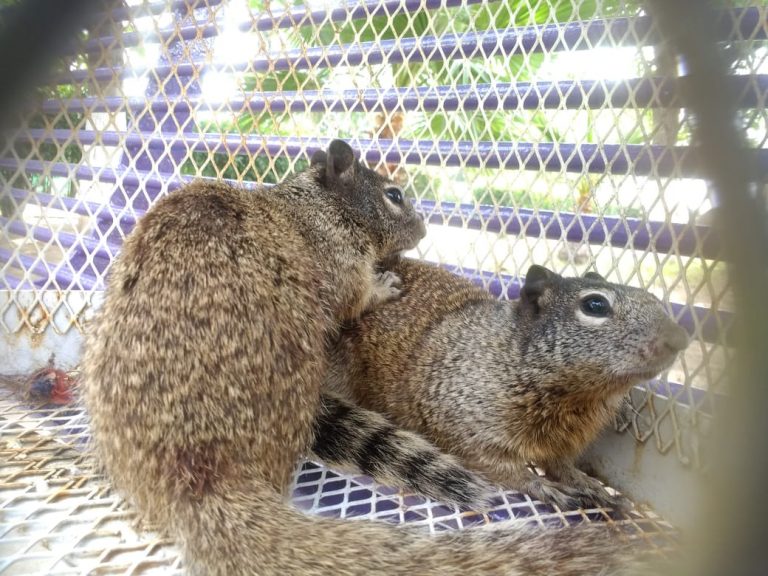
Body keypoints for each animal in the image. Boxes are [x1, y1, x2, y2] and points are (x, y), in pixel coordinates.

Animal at [81, 141, 640, 576]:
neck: (307, 200)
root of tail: (197, 480)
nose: (424, 229)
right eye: (393, 195)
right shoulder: (340, 259)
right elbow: (355, 297)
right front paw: (385, 284)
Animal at [326, 258, 688, 510]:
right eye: (595, 305)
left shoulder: (564, 442)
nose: (681, 338)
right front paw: (543, 487)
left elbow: (560, 465)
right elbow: (500, 468)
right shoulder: (465, 427)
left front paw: (588, 484)